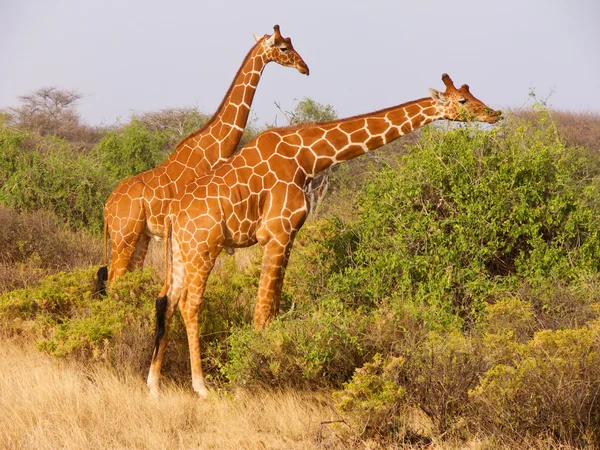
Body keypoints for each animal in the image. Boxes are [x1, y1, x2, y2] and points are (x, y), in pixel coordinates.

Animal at [96, 24, 310, 294]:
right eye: (283, 47)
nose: (305, 68)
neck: (212, 150)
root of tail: (107, 208)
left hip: (140, 236)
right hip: (124, 236)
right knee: (114, 279)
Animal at [146, 71, 502, 398]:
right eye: (463, 100)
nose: (494, 113)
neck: (307, 157)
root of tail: (174, 213)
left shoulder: (286, 237)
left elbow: (272, 308)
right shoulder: (278, 233)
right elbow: (262, 311)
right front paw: (249, 378)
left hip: (180, 252)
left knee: (168, 300)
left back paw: (153, 386)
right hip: (203, 249)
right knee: (190, 304)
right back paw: (201, 387)